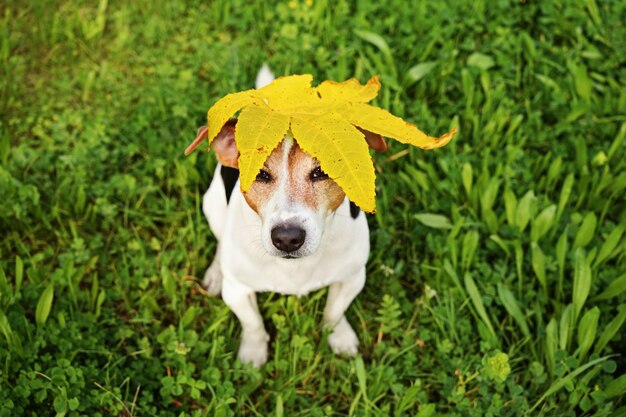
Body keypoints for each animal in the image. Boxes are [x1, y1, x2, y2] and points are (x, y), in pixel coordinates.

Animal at [195, 64, 386, 364]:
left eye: (322, 172)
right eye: (260, 175)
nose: (287, 238)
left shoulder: (353, 277)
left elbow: (335, 311)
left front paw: (339, 335)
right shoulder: (237, 290)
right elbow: (252, 322)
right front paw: (253, 351)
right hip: (212, 204)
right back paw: (216, 272)